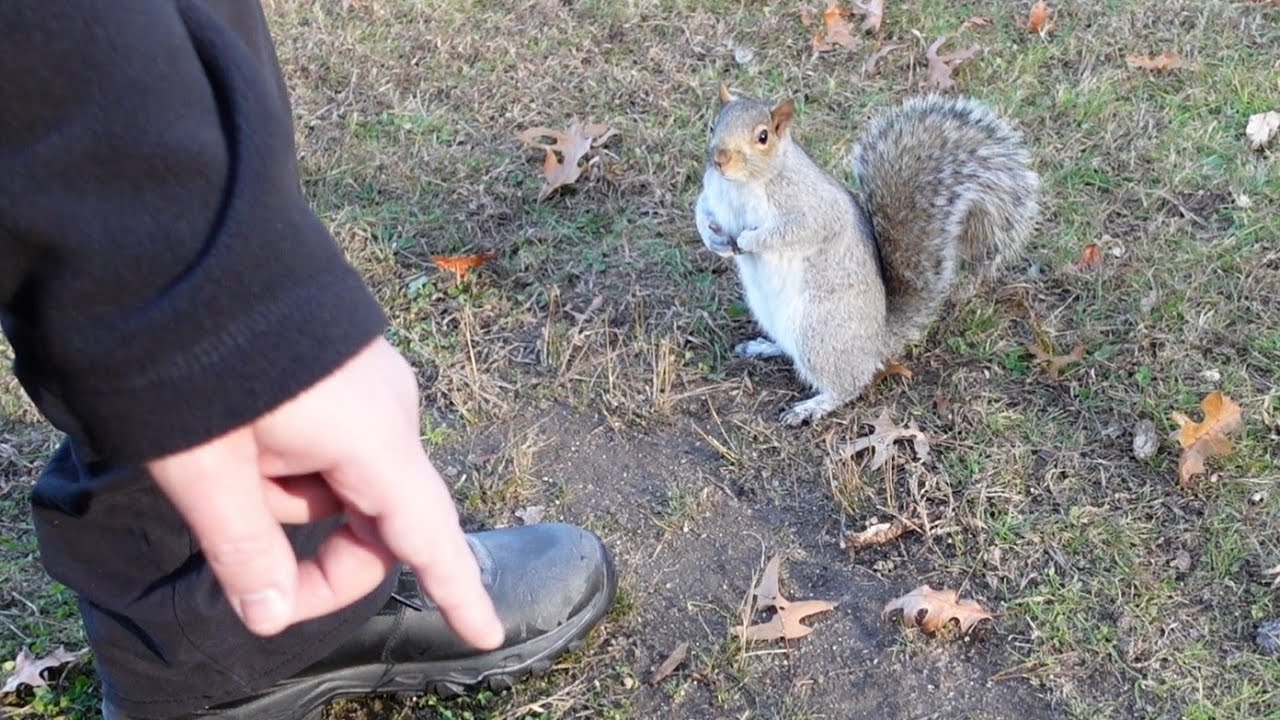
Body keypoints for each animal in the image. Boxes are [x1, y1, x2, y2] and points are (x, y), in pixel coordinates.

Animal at [694, 86, 1040, 426]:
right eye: (713, 126)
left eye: (763, 137)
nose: (719, 159)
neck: (741, 185)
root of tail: (877, 341)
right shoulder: (711, 193)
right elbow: (701, 211)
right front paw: (714, 240)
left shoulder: (812, 209)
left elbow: (796, 230)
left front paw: (748, 239)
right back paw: (764, 347)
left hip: (818, 329)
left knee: (850, 383)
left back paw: (812, 406)